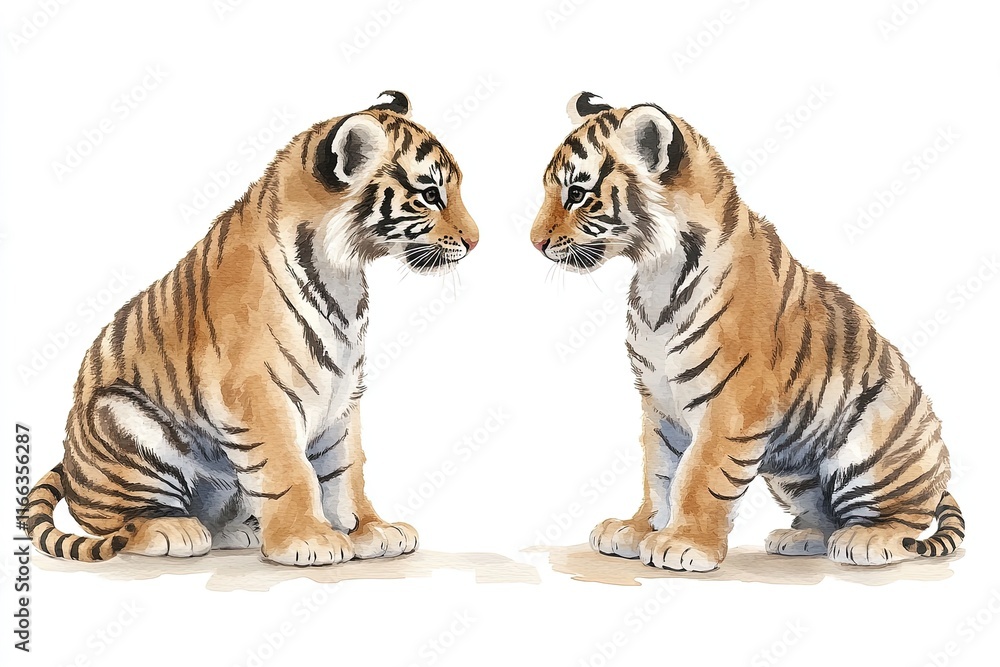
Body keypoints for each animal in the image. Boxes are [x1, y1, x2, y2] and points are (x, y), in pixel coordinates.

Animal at [23, 91, 479, 566]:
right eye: (429, 194)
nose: (475, 240)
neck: (343, 275)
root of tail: (68, 463)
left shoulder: (343, 396)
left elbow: (345, 469)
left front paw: (371, 530)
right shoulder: (255, 392)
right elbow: (289, 468)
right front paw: (307, 539)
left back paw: (235, 532)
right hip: (121, 419)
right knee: (122, 526)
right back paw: (173, 529)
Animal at [530, 92, 964, 571]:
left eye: (577, 194)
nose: (534, 242)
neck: (656, 275)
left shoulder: (733, 401)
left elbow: (699, 473)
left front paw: (683, 544)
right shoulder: (658, 402)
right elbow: (658, 471)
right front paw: (636, 529)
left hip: (871, 454)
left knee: (904, 519)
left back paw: (866, 540)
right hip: (794, 475)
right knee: (826, 515)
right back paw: (800, 537)